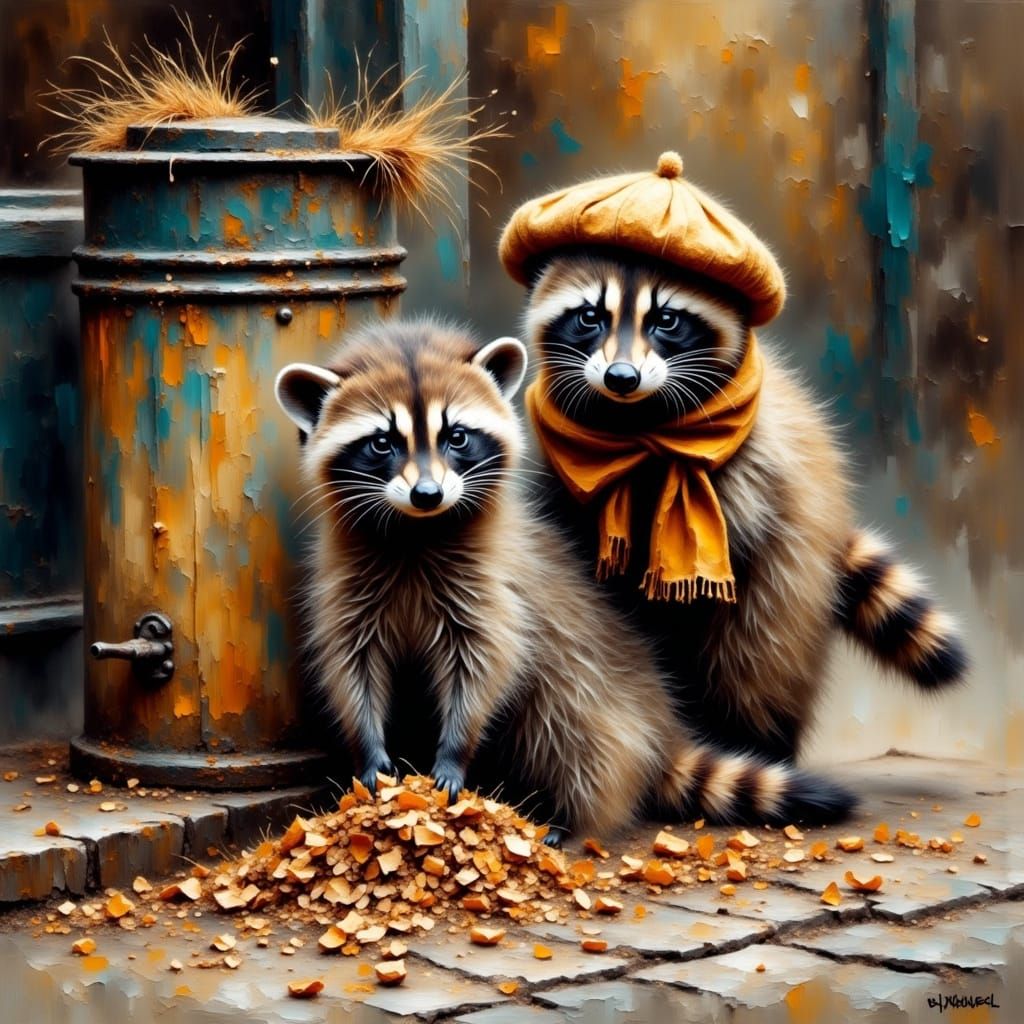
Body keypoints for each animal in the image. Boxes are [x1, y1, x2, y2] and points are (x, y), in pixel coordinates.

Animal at [274, 317, 855, 839]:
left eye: (456, 437)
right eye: (381, 443)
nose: (427, 495)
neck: (417, 531)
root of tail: (662, 728)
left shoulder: (492, 587)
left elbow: (483, 665)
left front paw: (455, 749)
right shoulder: (349, 583)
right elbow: (353, 665)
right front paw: (368, 748)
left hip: (591, 693)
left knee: (573, 732)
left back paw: (570, 819)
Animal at [520, 249, 968, 762]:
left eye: (666, 320)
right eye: (589, 316)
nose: (621, 378)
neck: (636, 427)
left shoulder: (752, 482)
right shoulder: (564, 488)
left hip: (790, 574)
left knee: (758, 655)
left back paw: (758, 738)